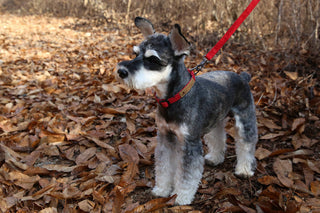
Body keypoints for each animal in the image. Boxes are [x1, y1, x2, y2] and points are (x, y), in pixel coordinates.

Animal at [115, 17, 258, 206]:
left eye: (153, 59)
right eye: (135, 53)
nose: (121, 71)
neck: (173, 98)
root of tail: (242, 77)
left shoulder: (190, 143)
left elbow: (187, 175)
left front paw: (181, 197)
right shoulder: (166, 137)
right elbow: (164, 166)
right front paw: (161, 189)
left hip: (245, 119)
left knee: (246, 144)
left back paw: (244, 169)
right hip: (215, 119)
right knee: (217, 137)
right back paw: (215, 157)